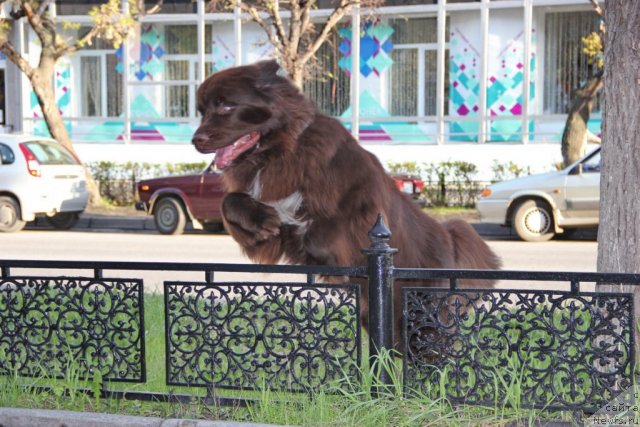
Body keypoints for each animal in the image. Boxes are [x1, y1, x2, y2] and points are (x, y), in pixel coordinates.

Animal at [192, 59, 502, 348]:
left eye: (226, 105)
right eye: (202, 111)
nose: (196, 140)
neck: (281, 152)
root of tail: (449, 239)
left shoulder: (362, 207)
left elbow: (324, 229)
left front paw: (305, 237)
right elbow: (229, 202)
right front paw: (264, 221)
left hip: (423, 318)